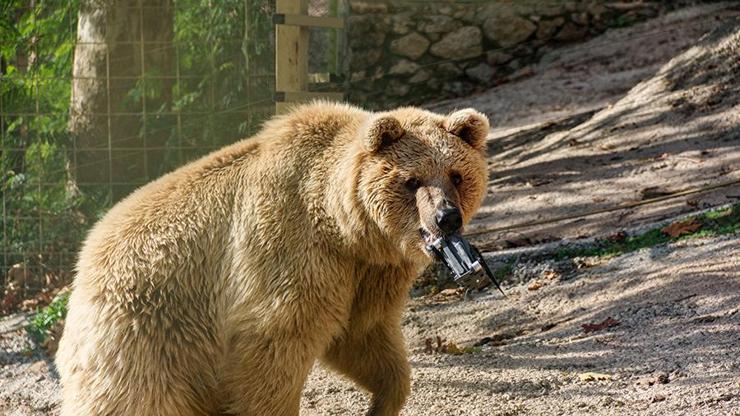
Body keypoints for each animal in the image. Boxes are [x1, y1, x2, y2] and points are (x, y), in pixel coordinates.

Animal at [57, 101, 492, 416]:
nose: (447, 217)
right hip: (146, 328)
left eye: (456, 174)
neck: (345, 227)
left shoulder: (365, 274)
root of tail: (83, 263)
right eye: (411, 181)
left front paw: (382, 402)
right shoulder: (289, 250)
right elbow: (272, 352)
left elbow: (365, 338)